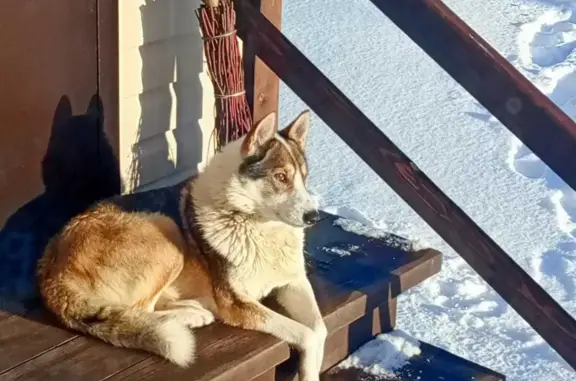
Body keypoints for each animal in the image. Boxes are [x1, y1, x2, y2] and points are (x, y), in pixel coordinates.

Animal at [37, 110, 328, 380]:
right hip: (167, 233)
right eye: (280, 177)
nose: (314, 217)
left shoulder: (293, 282)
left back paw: (194, 308)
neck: (251, 221)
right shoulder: (238, 305)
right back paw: (191, 315)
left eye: (304, 178)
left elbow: (320, 330)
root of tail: (51, 266)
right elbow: (307, 334)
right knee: (140, 311)